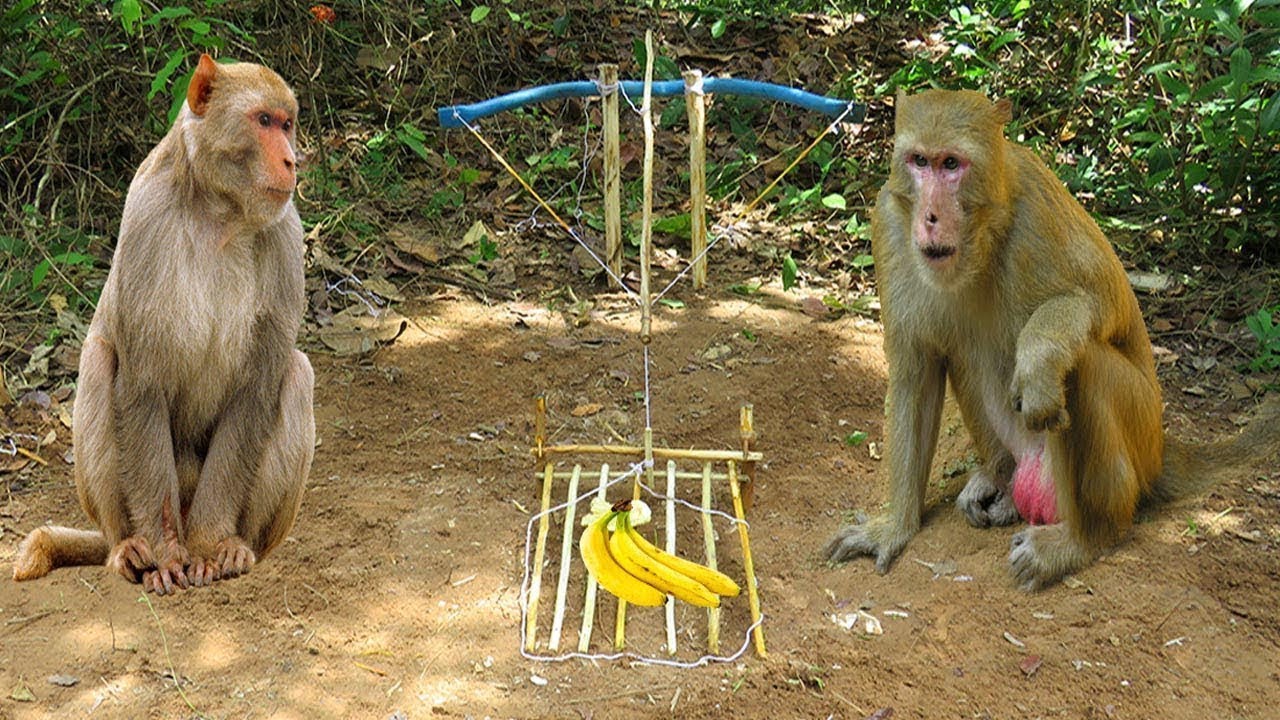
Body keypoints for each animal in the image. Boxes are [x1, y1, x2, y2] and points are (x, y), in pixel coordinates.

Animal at [12, 54, 315, 595]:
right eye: (263, 120)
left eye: (287, 124)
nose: (292, 161)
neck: (220, 212)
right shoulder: (146, 219)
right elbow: (142, 384)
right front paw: (168, 552)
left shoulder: (286, 234)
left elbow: (255, 391)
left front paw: (210, 546)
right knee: (99, 360)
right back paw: (128, 549)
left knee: (296, 372)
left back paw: (237, 546)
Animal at [824, 89, 1280, 590]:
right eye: (919, 161)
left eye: (951, 164)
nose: (930, 217)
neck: (982, 237)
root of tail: (1160, 451)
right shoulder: (889, 226)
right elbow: (915, 378)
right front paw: (895, 526)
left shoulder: (1035, 217)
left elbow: (1097, 304)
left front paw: (1039, 360)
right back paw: (999, 481)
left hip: (1138, 434)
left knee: (1084, 367)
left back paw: (1083, 540)